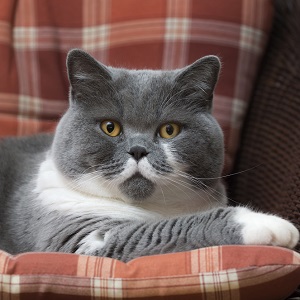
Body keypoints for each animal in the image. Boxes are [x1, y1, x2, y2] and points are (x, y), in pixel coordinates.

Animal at [0, 48, 298, 262]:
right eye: (110, 127)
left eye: (169, 130)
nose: (138, 150)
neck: (150, 208)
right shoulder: (80, 235)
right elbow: (166, 229)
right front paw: (267, 223)